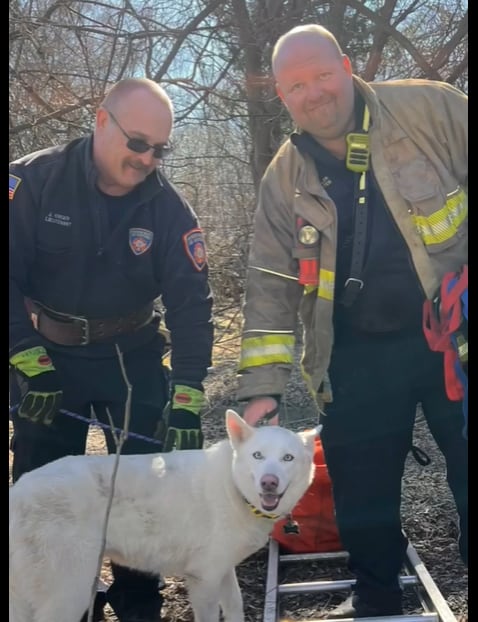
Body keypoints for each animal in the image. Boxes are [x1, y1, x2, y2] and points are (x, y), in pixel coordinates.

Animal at [8, 410, 318, 622]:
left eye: (287, 458)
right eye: (257, 455)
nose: (269, 482)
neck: (233, 487)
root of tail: (17, 492)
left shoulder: (221, 569)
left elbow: (235, 607)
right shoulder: (203, 579)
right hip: (70, 593)